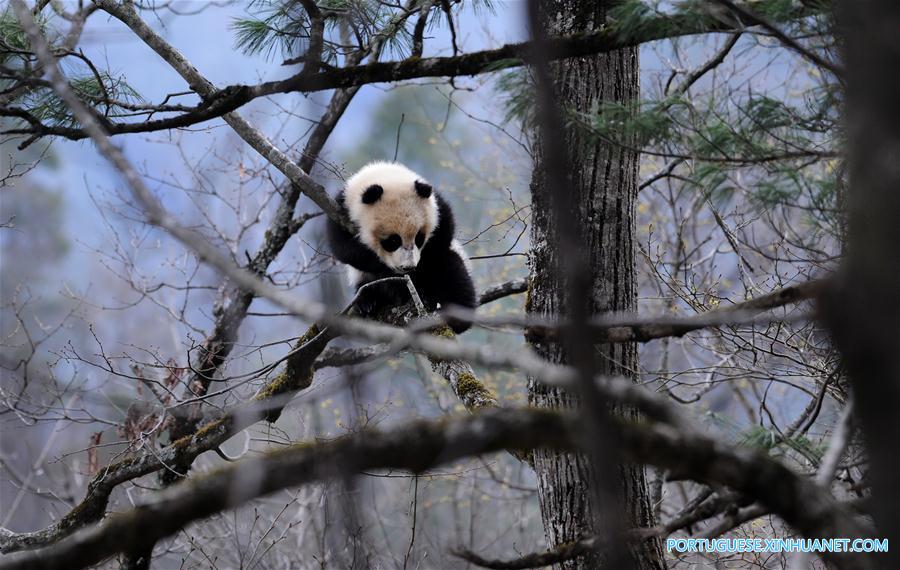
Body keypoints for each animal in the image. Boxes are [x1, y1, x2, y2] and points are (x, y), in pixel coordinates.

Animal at [326, 161, 477, 333]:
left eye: (419, 238)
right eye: (392, 241)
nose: (408, 267)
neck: (387, 175)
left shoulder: (437, 205)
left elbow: (443, 233)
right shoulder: (341, 208)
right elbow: (342, 247)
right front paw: (377, 263)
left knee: (453, 273)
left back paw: (457, 315)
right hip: (364, 279)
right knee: (366, 286)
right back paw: (368, 302)